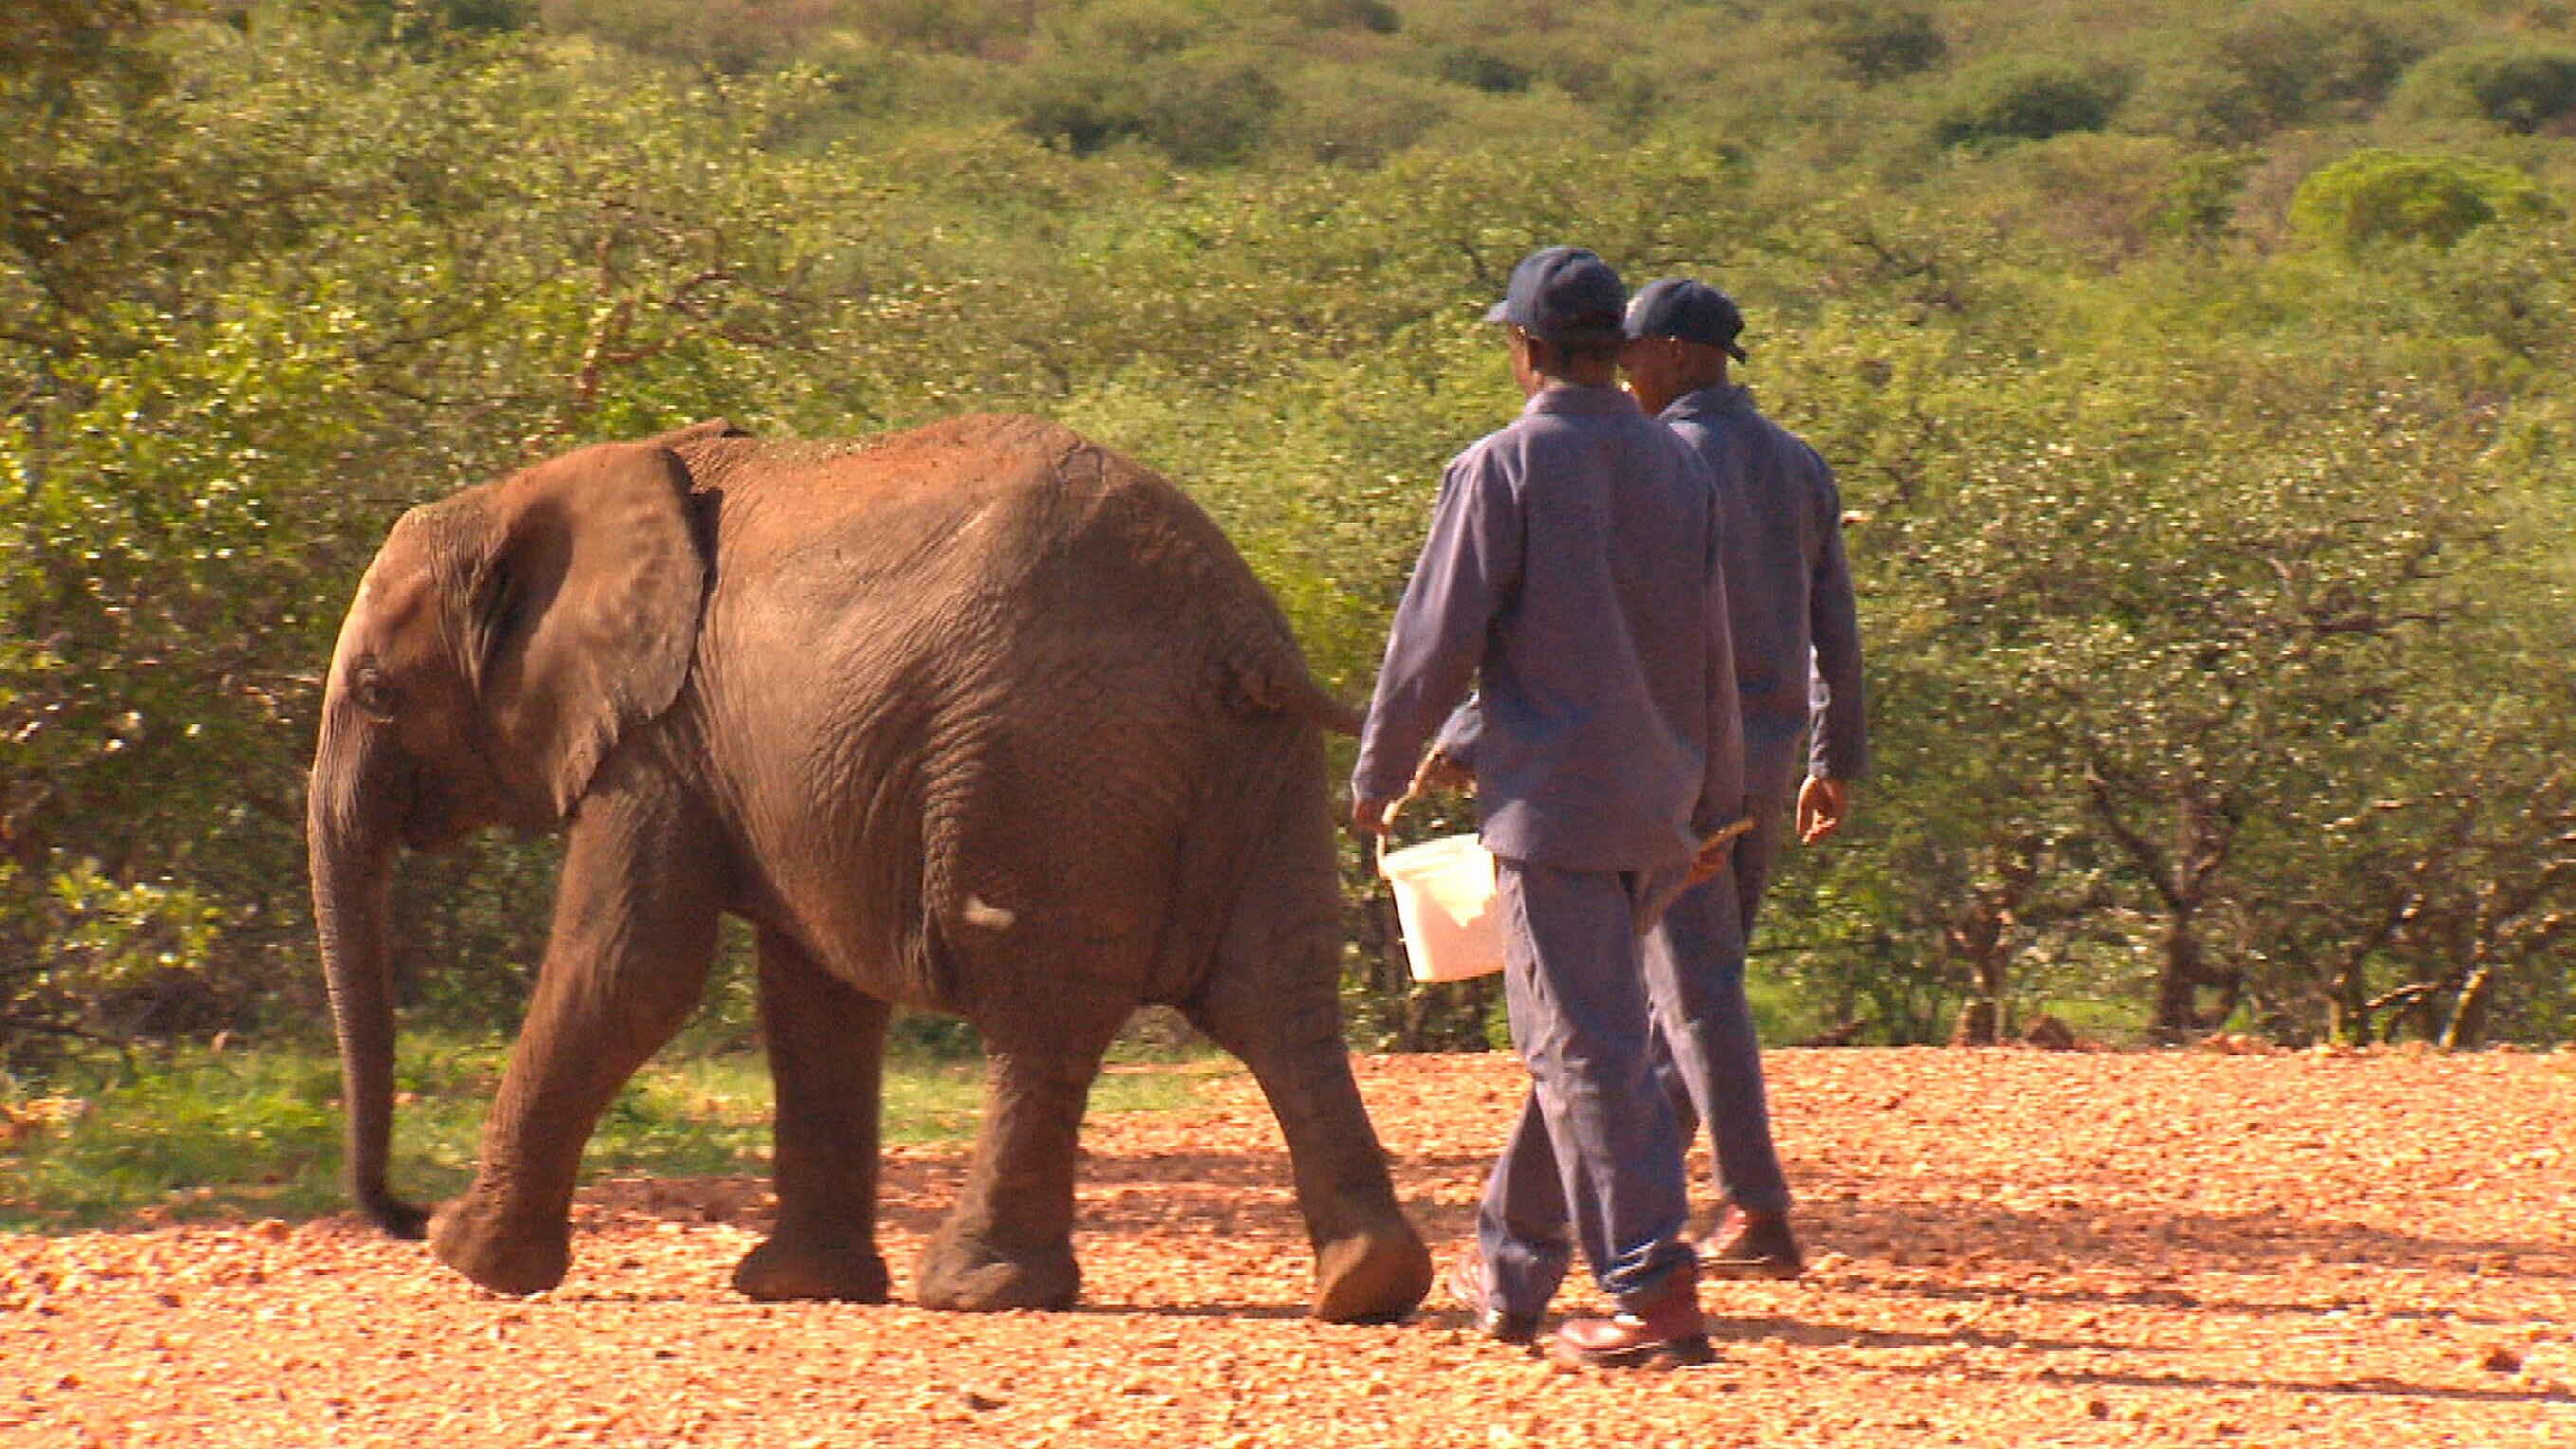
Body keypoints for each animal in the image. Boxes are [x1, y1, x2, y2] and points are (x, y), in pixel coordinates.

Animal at [311, 413, 1442, 1314]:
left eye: (376, 692)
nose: (402, 1209)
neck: (529, 492)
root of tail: (1235, 623)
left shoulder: (657, 736)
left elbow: (630, 966)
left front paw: (468, 1256)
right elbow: (814, 994)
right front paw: (799, 1288)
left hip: (1047, 757)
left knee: (1039, 1015)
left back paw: (978, 1290)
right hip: (1252, 764)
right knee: (1278, 998)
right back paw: (1366, 1286)